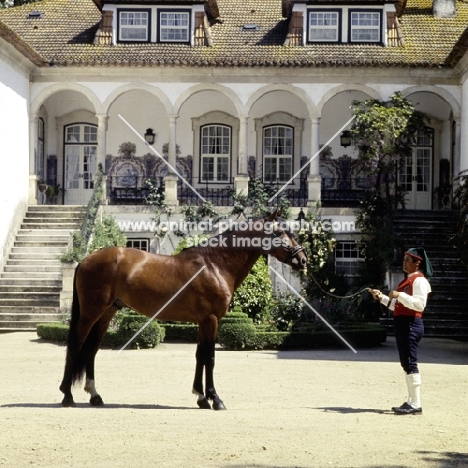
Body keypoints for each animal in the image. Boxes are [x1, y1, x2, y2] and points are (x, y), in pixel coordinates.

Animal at [58, 209, 308, 410]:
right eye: (280, 232)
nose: (303, 259)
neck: (215, 265)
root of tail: (85, 260)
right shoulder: (211, 319)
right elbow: (210, 357)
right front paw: (215, 399)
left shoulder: (202, 321)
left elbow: (199, 356)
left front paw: (201, 397)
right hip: (91, 314)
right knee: (76, 345)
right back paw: (67, 395)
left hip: (107, 314)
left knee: (91, 350)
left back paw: (95, 395)